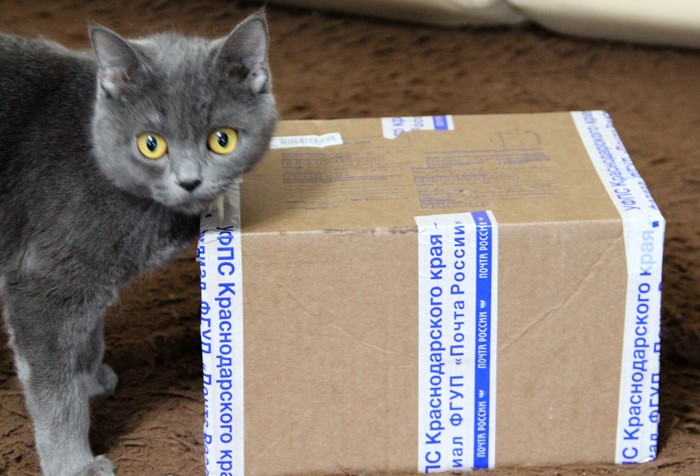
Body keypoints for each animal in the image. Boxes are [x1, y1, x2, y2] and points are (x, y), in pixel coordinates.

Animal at [0, 12, 276, 476]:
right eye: (151, 144)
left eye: (222, 139)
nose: (189, 181)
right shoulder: (44, 285)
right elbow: (55, 392)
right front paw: (75, 465)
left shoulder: (88, 280)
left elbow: (89, 337)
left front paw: (91, 379)